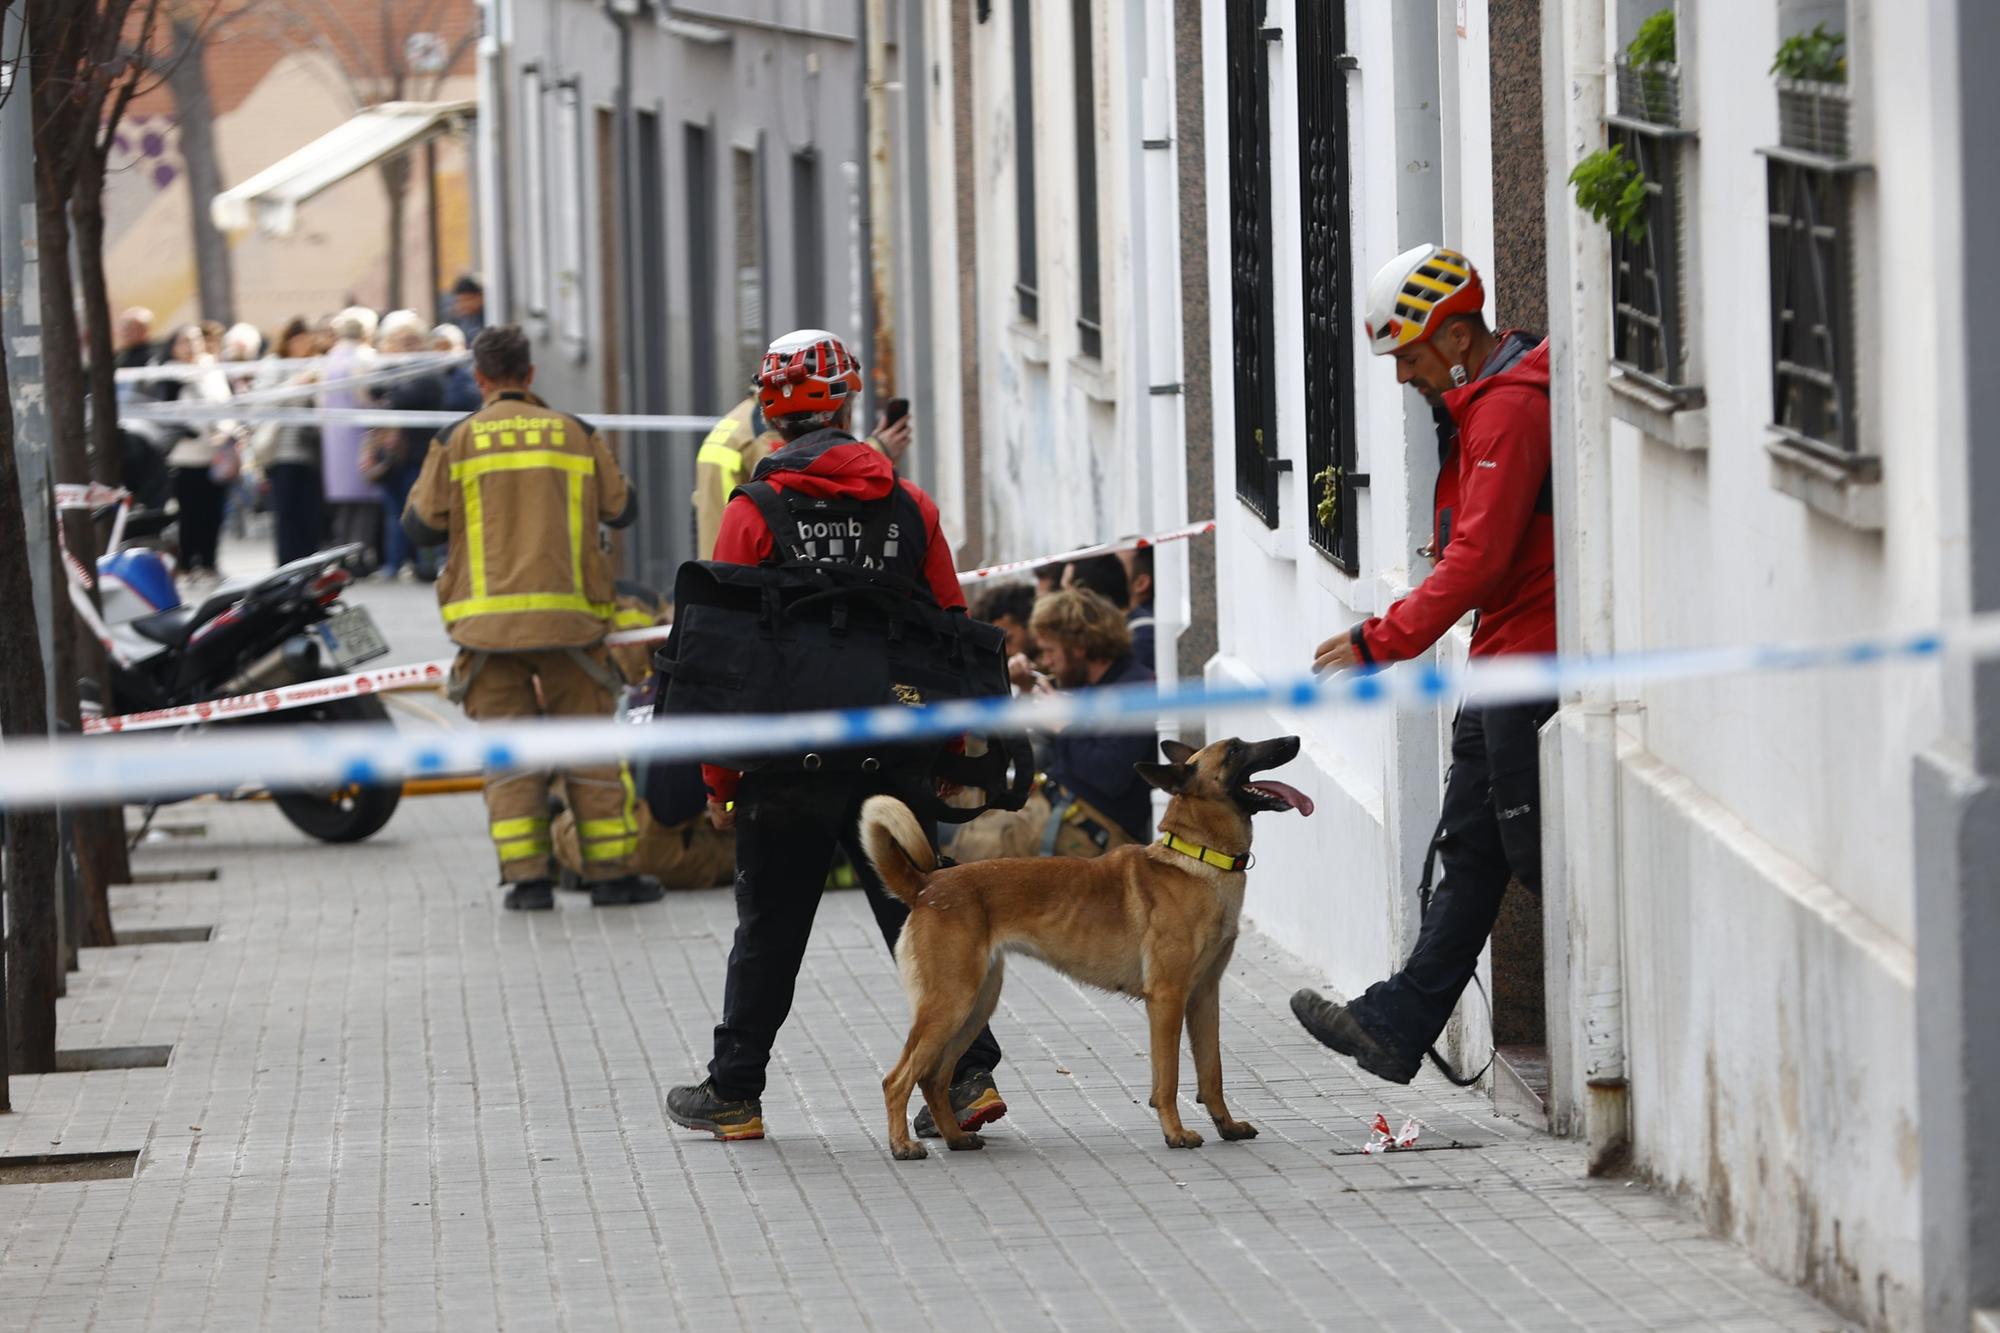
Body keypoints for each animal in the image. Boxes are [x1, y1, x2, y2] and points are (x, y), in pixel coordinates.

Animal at [860, 732, 1312, 1160]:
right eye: (1235, 750)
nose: (1293, 741)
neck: (1198, 858)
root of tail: (926, 886)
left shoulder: (1204, 997)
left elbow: (1211, 1072)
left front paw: (1227, 1126)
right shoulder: (1167, 999)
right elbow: (1168, 1079)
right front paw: (1175, 1133)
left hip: (975, 1006)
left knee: (933, 1078)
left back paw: (956, 1137)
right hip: (951, 1002)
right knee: (896, 1079)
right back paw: (903, 1146)